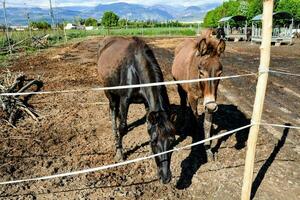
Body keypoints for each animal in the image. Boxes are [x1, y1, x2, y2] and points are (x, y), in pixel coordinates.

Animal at [97, 36, 176, 184]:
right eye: (154, 142)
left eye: (172, 141)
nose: (165, 177)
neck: (135, 69)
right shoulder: (124, 99)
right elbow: (123, 127)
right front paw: (119, 154)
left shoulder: (147, 103)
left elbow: (147, 125)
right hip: (109, 92)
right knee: (113, 111)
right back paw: (115, 135)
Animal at [171, 31, 225, 159]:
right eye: (201, 72)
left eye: (220, 73)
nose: (212, 106)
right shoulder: (193, 97)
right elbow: (195, 118)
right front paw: (196, 143)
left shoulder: (211, 100)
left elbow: (207, 124)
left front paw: (208, 150)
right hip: (180, 86)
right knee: (183, 103)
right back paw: (183, 123)